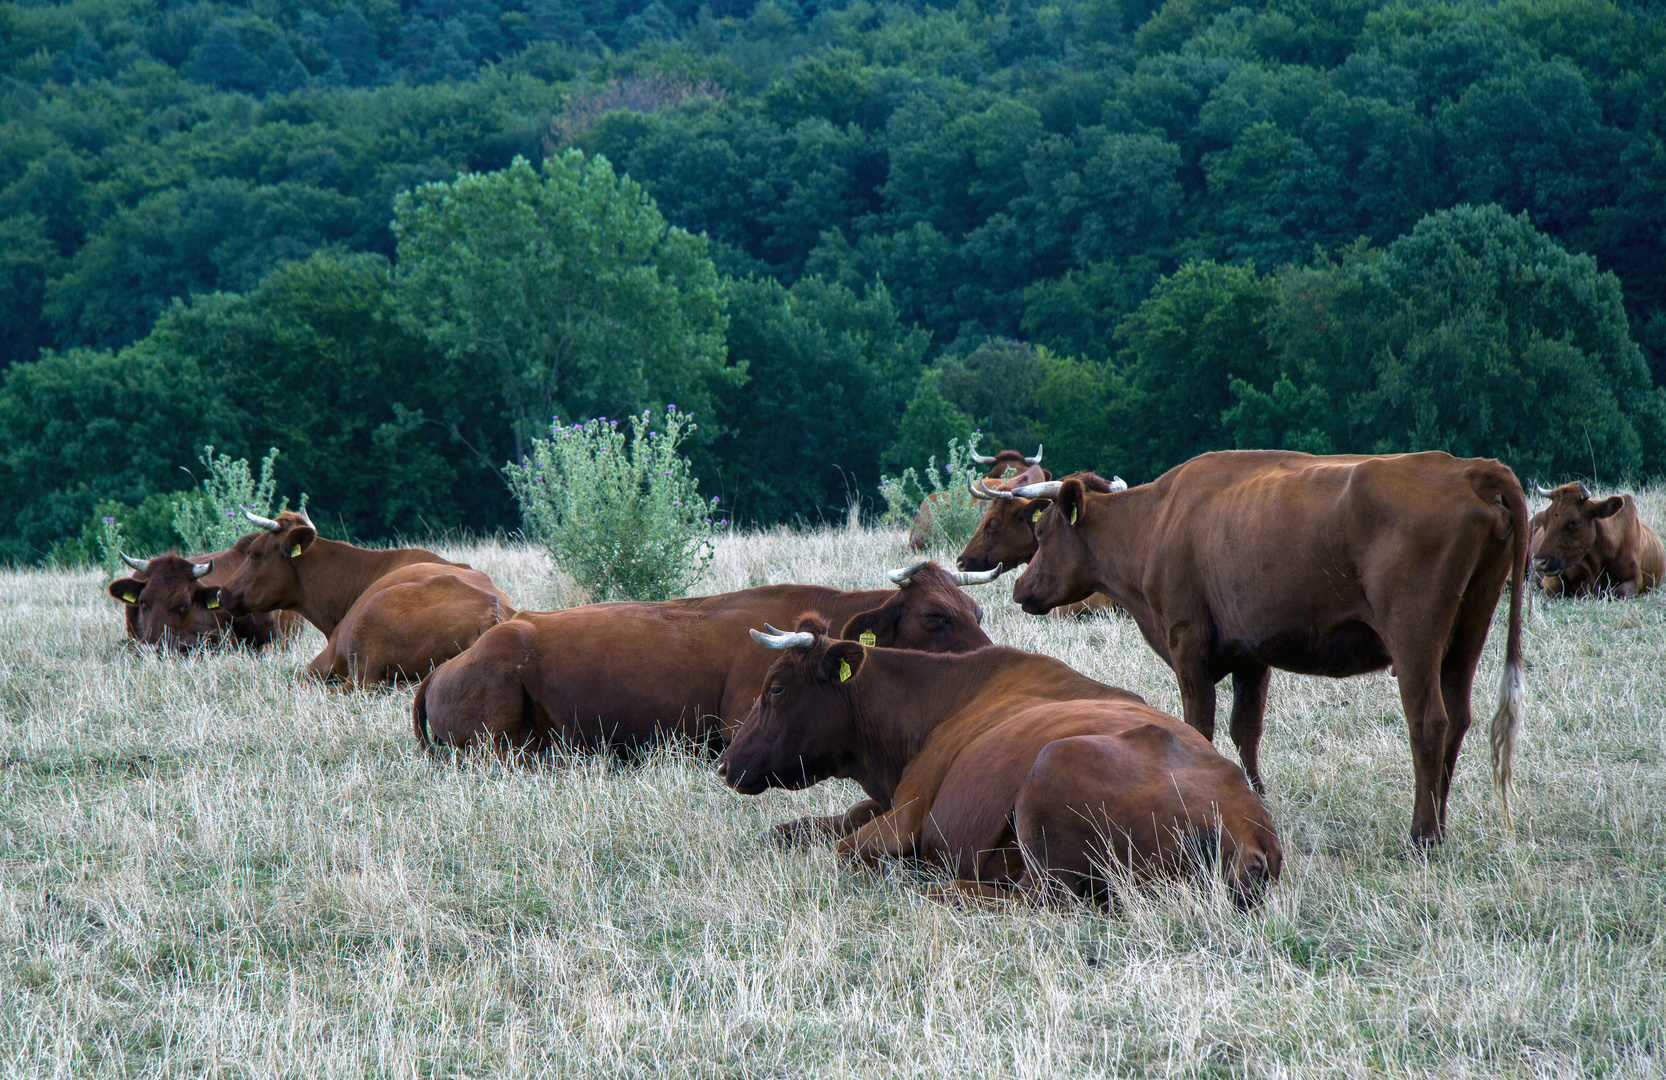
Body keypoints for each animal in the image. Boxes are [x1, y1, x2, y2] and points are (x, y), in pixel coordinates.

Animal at [1006, 446, 1526, 843]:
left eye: (1040, 532)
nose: (1019, 589)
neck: (1160, 520)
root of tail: (1467, 468)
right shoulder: (1251, 656)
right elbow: (1246, 730)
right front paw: (1254, 798)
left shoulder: (1188, 645)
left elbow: (1200, 727)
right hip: (1467, 635)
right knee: (1458, 719)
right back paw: (1440, 825)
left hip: (1415, 637)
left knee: (1429, 723)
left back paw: (1423, 836)